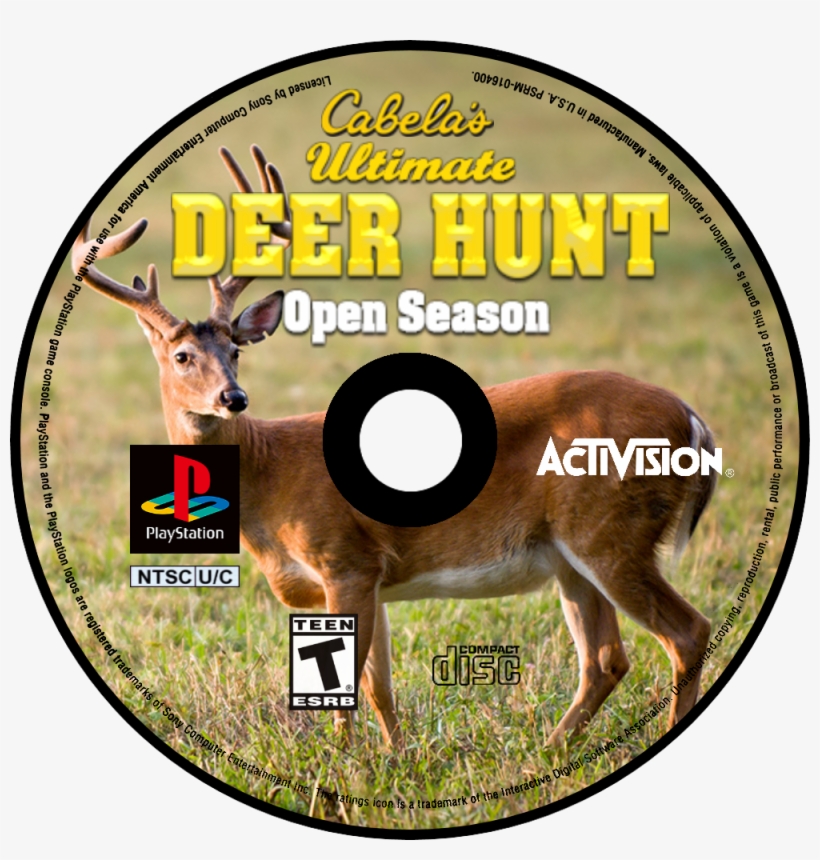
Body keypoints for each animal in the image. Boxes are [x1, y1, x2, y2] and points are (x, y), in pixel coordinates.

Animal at [73, 144, 717, 751]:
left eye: (235, 350)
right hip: (571, 555)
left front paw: (343, 763)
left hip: (609, 530)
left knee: (686, 632)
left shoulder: (345, 558)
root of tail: (693, 422)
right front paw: (394, 759)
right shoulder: (370, 578)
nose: (233, 397)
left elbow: (347, 686)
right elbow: (380, 686)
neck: (267, 477)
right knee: (607, 659)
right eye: (182, 356)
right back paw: (550, 751)